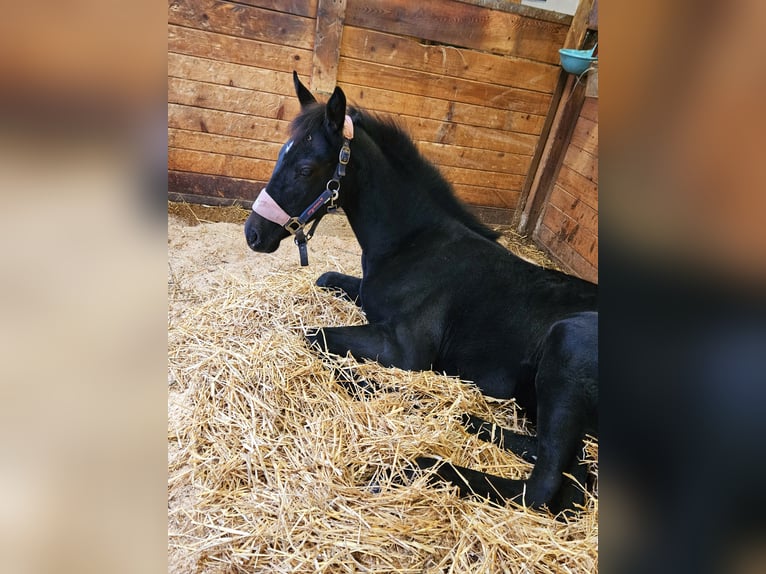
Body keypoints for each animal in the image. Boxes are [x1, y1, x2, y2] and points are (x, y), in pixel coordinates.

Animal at [246, 73, 600, 516]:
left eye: (306, 168)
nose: (253, 233)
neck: (415, 243)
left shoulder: (406, 350)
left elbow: (315, 337)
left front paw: (368, 386)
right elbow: (325, 279)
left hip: (566, 353)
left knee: (545, 488)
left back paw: (411, 466)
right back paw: (458, 415)